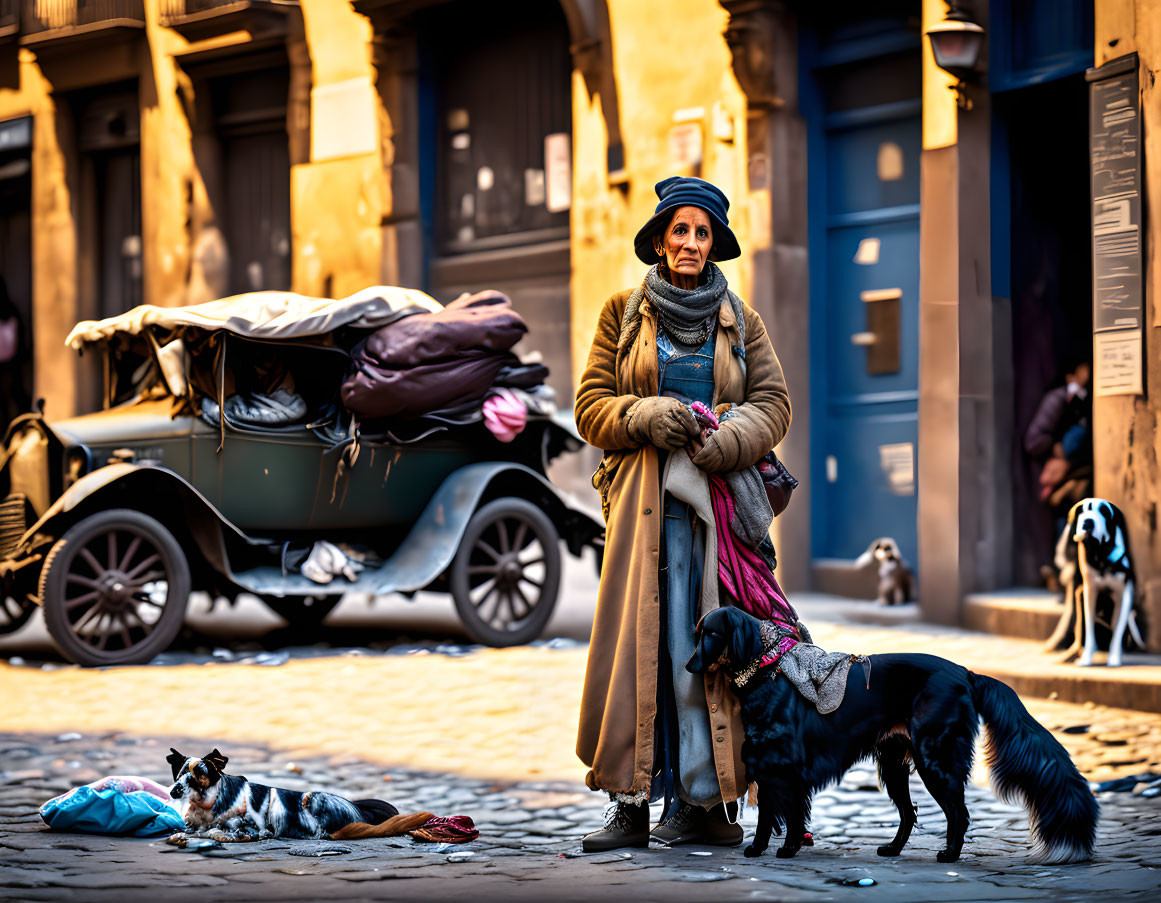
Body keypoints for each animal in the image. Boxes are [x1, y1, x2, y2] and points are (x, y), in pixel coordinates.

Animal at [687, 608, 1095, 863]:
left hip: (935, 759)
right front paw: (757, 849)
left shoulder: (784, 768)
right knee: (909, 814)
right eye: (698, 633)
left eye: (712, 634)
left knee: (958, 813)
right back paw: (894, 850)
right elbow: (767, 817)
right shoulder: (767, 767)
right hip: (895, 764)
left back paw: (950, 856)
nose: (689, 664)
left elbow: (790, 817)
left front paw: (786, 850)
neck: (765, 674)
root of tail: (966, 673)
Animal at [1044, 496, 1142, 663]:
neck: (1100, 555)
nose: (1088, 522)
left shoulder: (1124, 595)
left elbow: (1118, 631)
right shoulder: (1087, 593)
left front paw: (1114, 658)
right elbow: (1086, 630)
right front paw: (1085, 658)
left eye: (1104, 511)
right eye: (1081, 511)